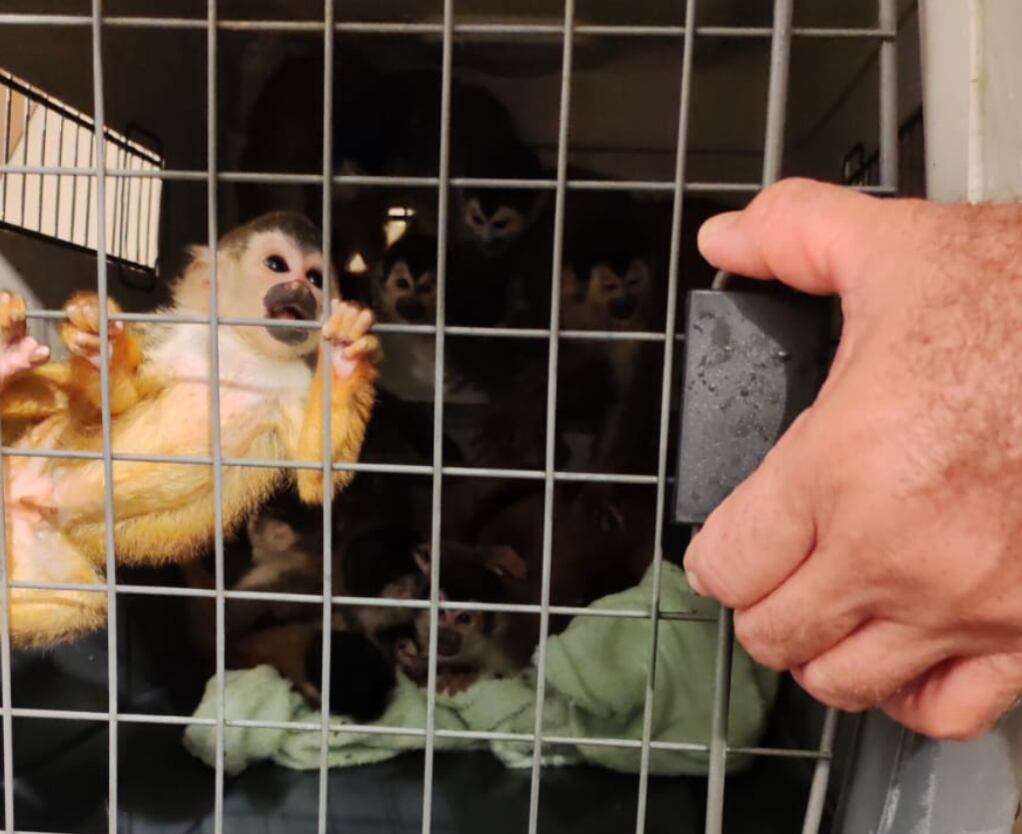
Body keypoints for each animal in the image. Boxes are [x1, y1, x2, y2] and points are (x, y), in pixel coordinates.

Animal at [0, 211, 380, 649]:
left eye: (316, 277)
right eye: (277, 266)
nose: (302, 290)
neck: (242, 349)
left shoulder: (294, 382)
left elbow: (318, 477)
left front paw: (343, 354)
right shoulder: (180, 335)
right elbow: (112, 403)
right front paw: (104, 349)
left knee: (82, 602)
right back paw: (8, 362)